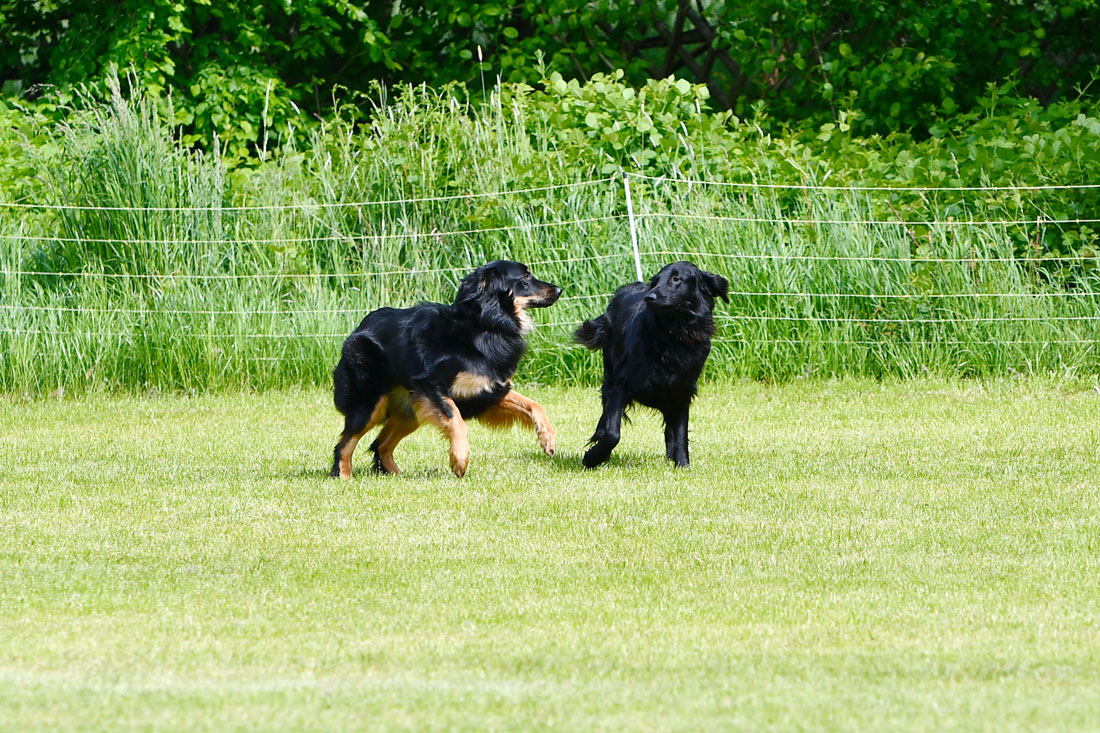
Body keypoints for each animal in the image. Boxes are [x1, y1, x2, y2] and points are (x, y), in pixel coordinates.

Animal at [330, 259, 563, 477]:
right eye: (525, 277)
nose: (559, 290)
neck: (486, 326)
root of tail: (360, 326)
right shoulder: (431, 385)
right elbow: (456, 418)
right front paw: (459, 459)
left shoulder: (488, 391)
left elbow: (534, 405)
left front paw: (548, 439)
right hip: (370, 404)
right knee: (345, 443)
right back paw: (345, 476)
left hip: (411, 409)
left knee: (380, 444)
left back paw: (396, 475)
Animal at [576, 259, 730, 468]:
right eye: (655, 281)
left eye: (676, 279)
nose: (649, 297)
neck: (672, 335)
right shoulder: (620, 385)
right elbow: (612, 432)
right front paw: (593, 457)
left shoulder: (682, 390)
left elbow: (680, 433)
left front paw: (682, 464)